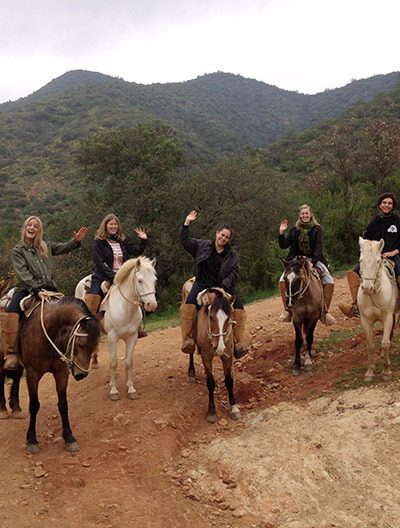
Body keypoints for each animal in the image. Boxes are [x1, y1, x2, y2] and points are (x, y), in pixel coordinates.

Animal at [18, 296, 100, 454]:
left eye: (93, 346)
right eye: (81, 344)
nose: (81, 374)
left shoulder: (61, 373)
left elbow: (63, 404)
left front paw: (69, 438)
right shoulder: (32, 374)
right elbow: (34, 405)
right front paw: (32, 440)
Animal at [76, 256, 157, 400]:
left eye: (154, 280)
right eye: (140, 280)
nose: (151, 305)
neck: (125, 308)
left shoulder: (132, 337)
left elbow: (128, 362)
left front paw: (131, 389)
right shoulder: (112, 338)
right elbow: (113, 362)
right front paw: (113, 390)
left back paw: (94, 361)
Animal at [183, 284, 239, 424]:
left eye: (228, 318)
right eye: (211, 317)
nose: (219, 347)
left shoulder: (227, 355)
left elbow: (229, 381)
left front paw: (234, 408)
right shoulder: (206, 357)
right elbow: (210, 383)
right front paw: (212, 411)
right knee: (190, 353)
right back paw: (191, 372)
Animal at [356, 237, 396, 382]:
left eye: (378, 261)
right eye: (361, 260)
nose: (367, 288)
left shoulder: (388, 317)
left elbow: (384, 343)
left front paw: (387, 371)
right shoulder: (366, 320)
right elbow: (370, 345)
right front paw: (369, 372)